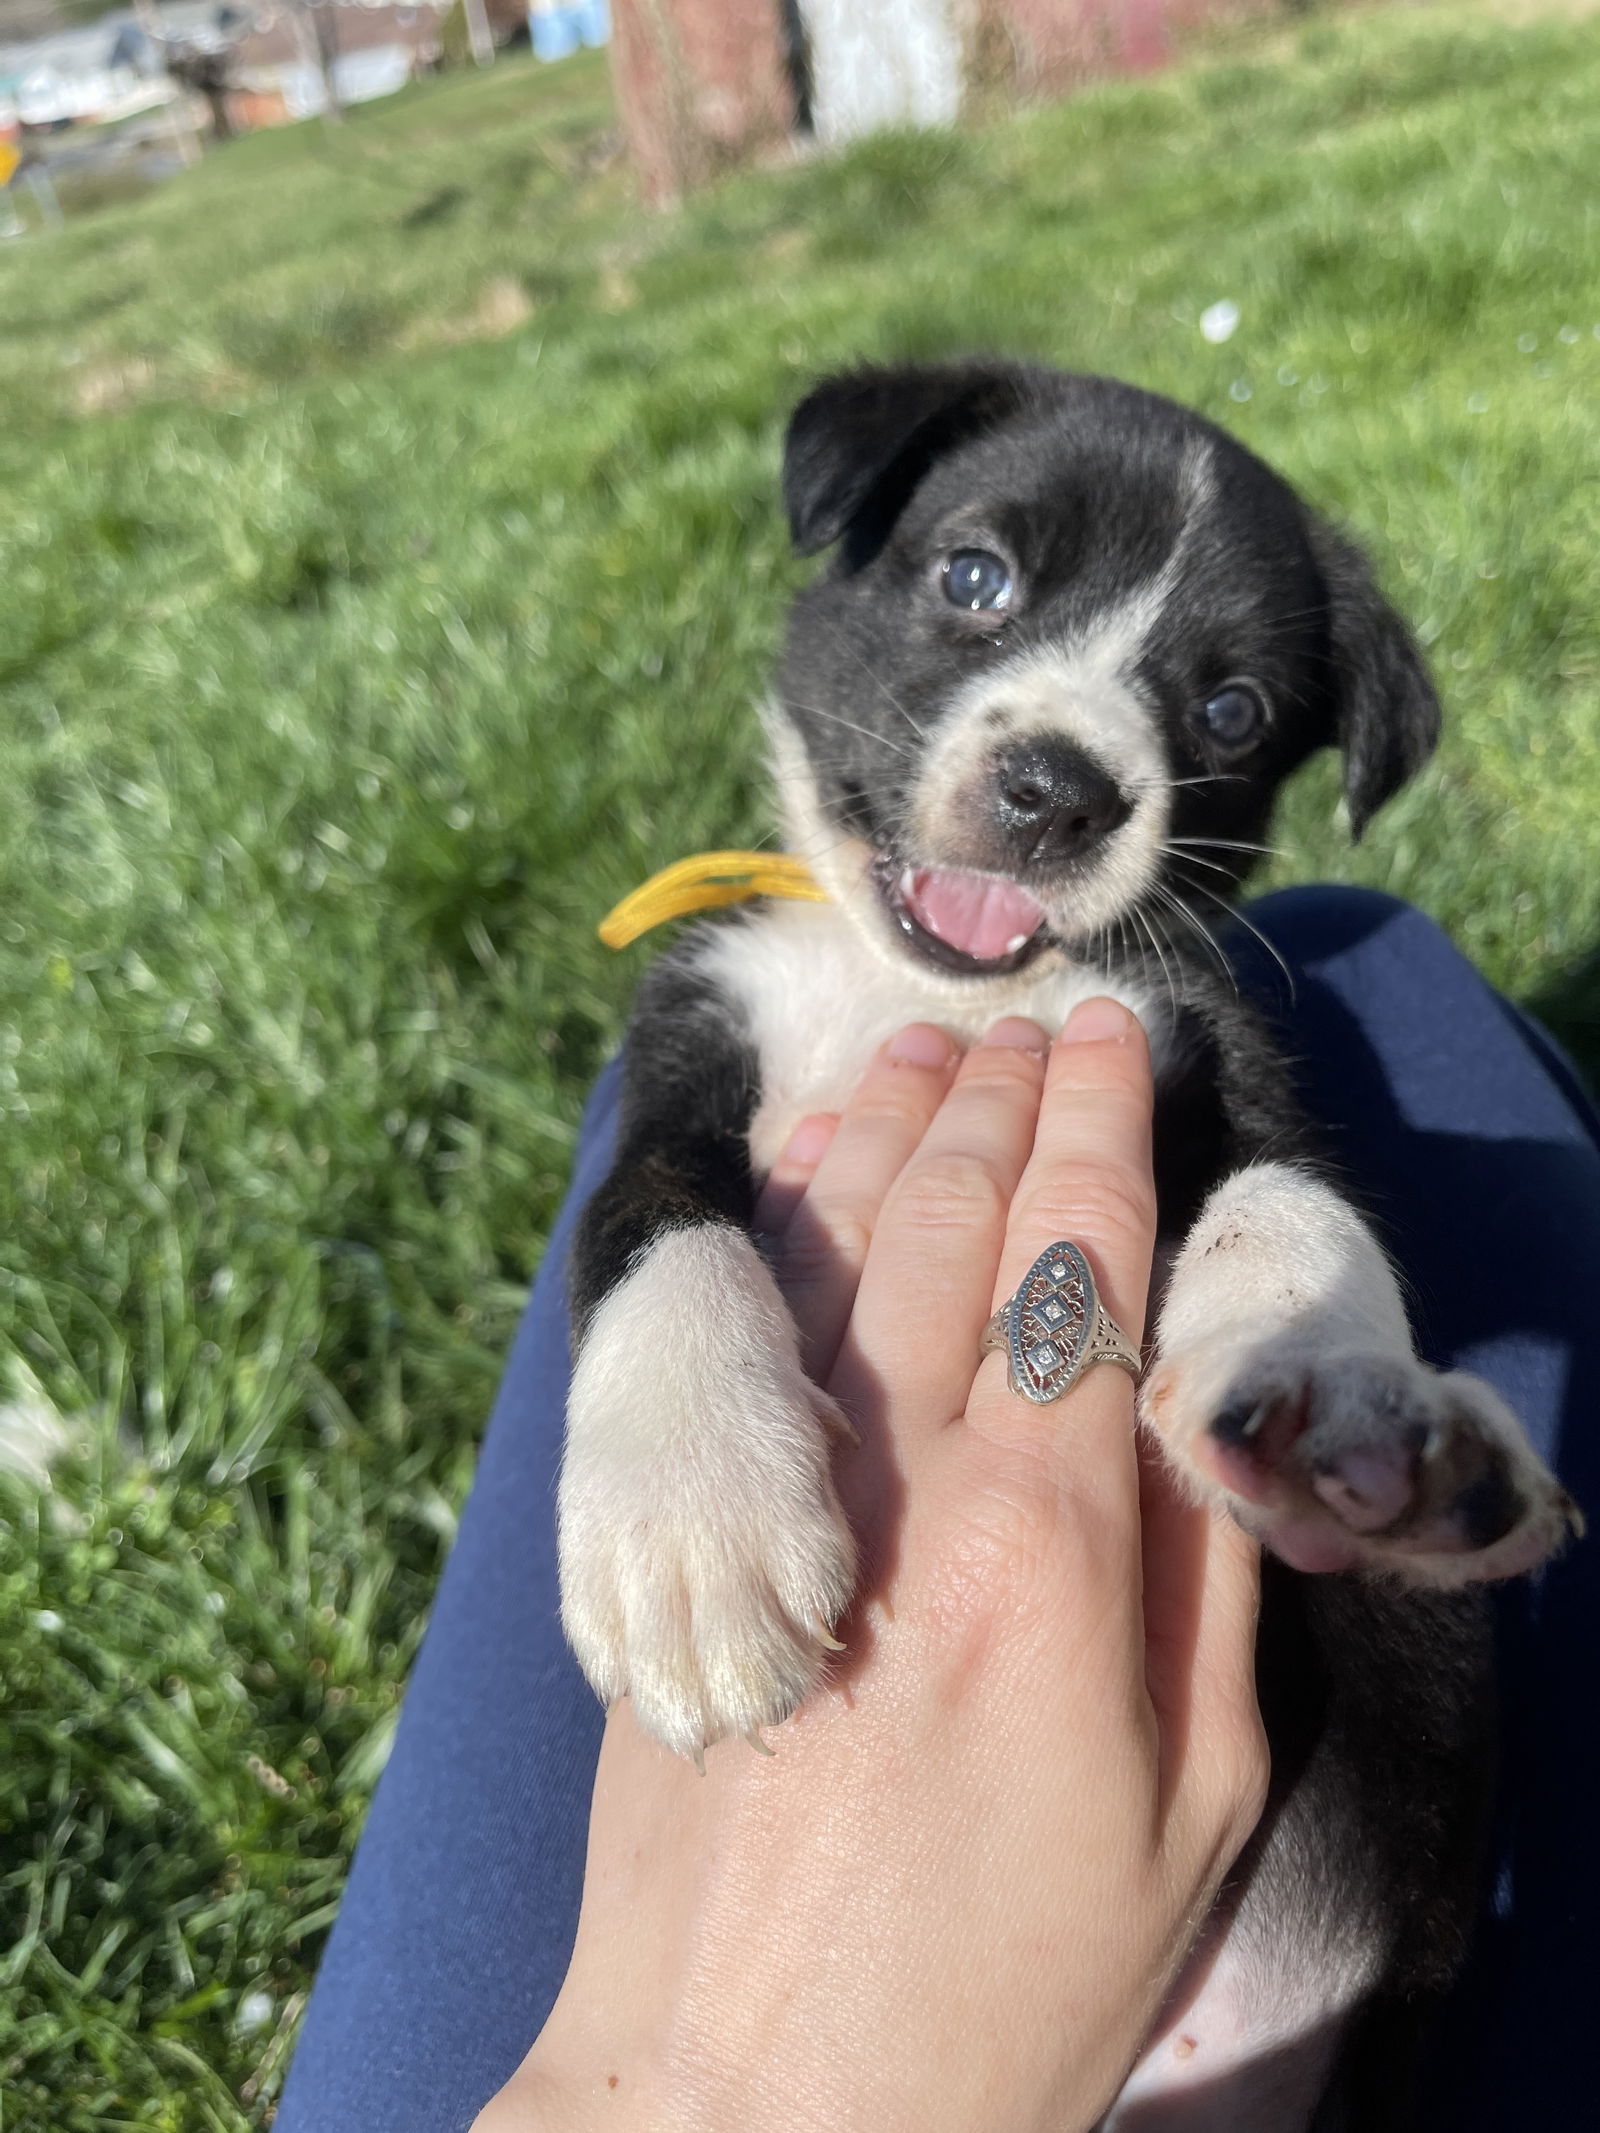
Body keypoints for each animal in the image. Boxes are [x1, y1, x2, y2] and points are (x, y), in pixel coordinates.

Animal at [554, 358, 1578, 2124]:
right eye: (975, 576)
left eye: (1230, 712)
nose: (1058, 789)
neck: (940, 992)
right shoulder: (682, 1053)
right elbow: (659, 1227)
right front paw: (693, 1517)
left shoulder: (1218, 1051)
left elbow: (1290, 1205)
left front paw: (1337, 1398)